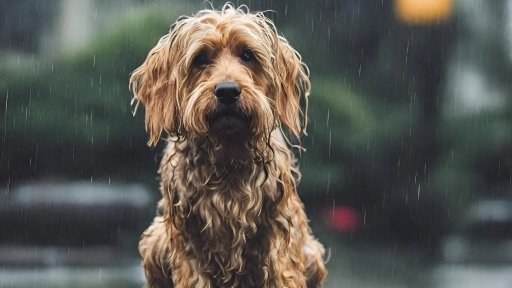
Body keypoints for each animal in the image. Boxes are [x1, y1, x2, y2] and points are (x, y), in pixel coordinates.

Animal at [130, 2, 326, 288]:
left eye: (247, 55)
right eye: (200, 58)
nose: (227, 91)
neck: (228, 154)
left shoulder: (276, 235)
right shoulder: (188, 239)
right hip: (155, 239)